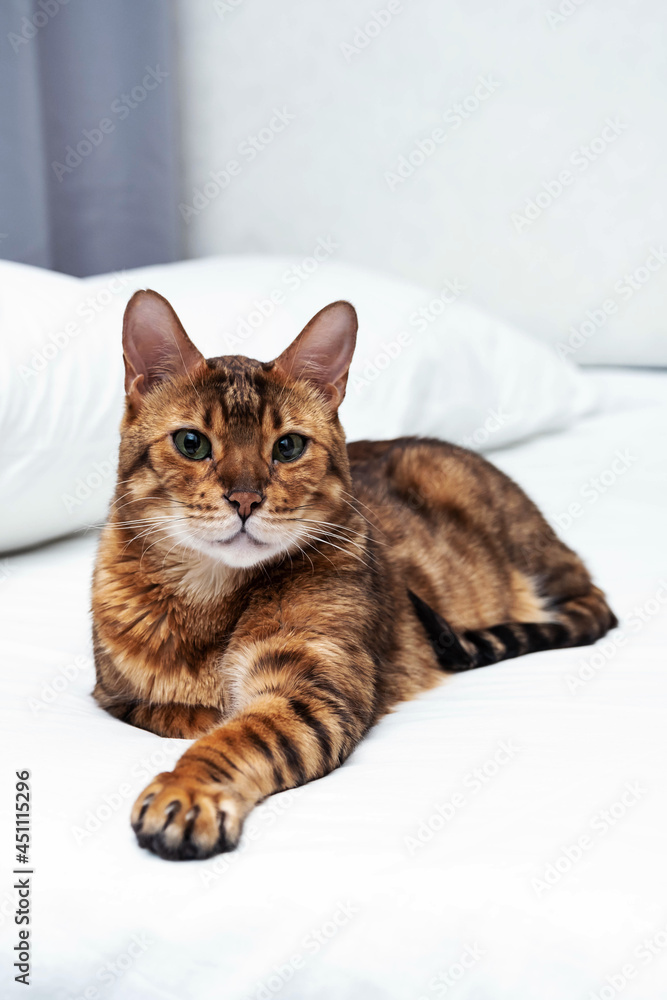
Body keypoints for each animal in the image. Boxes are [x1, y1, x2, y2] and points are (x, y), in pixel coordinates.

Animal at [91, 290, 620, 860]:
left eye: (288, 446)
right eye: (191, 442)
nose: (246, 498)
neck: (210, 603)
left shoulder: (313, 692)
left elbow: (232, 737)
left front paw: (188, 791)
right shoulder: (116, 698)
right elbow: (177, 714)